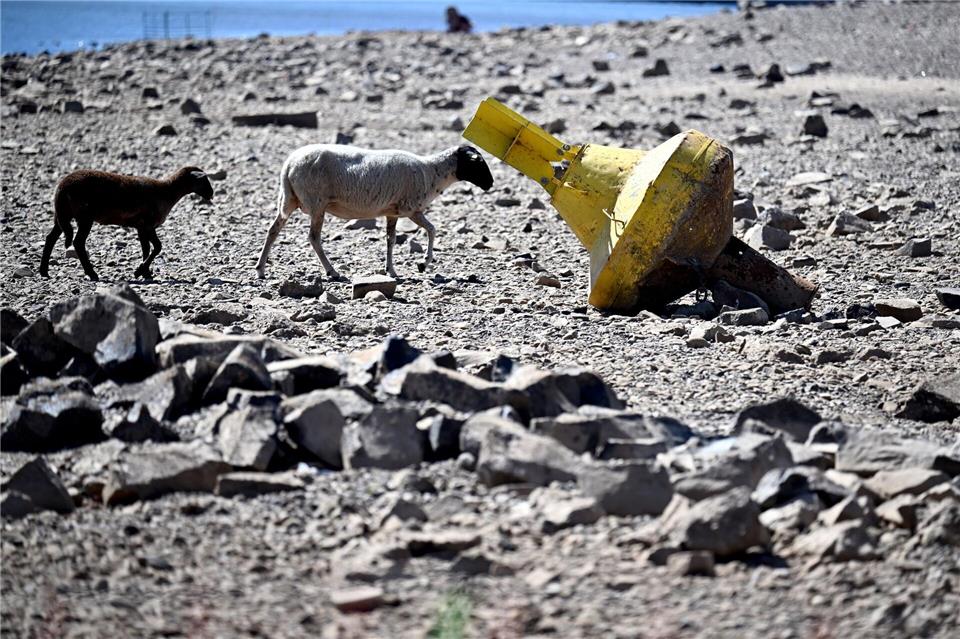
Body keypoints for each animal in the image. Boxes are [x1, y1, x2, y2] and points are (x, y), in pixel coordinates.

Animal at [39, 166, 214, 281]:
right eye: (205, 180)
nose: (211, 194)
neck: (168, 192)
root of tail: (62, 187)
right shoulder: (148, 224)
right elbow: (157, 247)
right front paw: (139, 271)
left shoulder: (141, 227)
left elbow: (146, 248)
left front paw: (146, 273)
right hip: (84, 216)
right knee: (78, 242)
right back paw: (92, 274)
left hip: (62, 216)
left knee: (51, 238)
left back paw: (44, 272)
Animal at [255, 144, 493, 280]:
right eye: (479, 164)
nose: (490, 184)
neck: (432, 172)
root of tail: (289, 164)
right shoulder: (411, 209)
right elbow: (433, 230)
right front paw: (423, 263)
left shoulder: (393, 212)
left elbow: (390, 240)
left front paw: (391, 271)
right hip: (317, 204)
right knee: (313, 237)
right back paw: (332, 271)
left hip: (289, 200)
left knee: (273, 230)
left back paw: (260, 269)